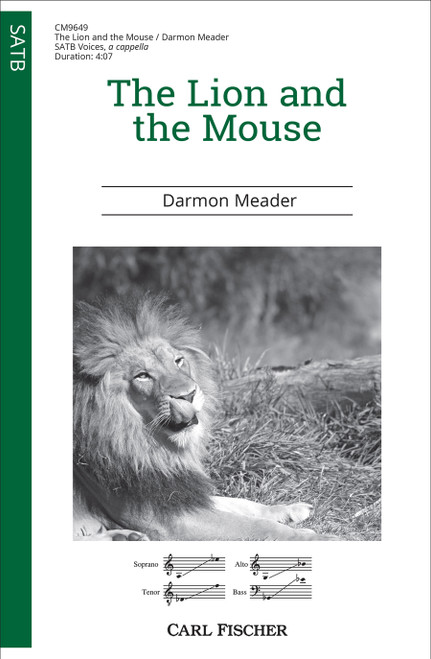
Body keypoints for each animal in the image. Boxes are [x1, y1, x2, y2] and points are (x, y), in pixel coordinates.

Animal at [73, 293, 335, 541]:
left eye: (178, 361)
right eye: (142, 376)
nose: (188, 395)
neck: (147, 445)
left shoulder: (181, 493)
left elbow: (239, 503)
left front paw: (289, 509)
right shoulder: (166, 520)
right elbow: (259, 526)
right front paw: (321, 538)